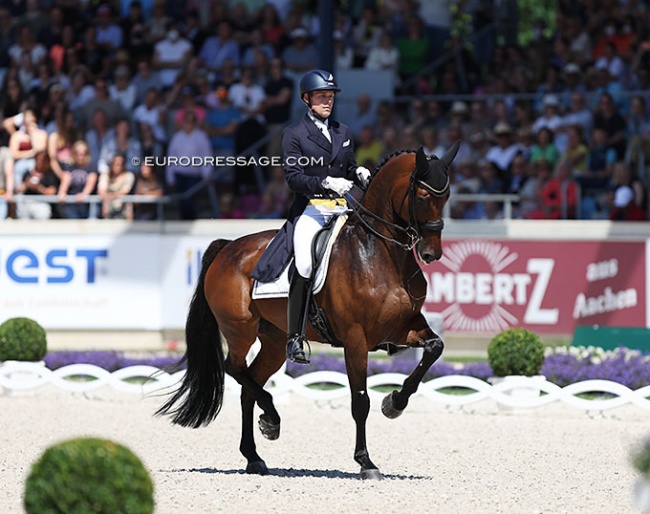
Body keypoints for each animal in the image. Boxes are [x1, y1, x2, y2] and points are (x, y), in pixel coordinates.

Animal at [154, 140, 458, 476]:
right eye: (423, 196)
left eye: (446, 196)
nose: (432, 253)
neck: (379, 253)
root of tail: (227, 248)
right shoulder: (356, 339)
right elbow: (360, 401)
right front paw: (365, 461)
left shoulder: (405, 326)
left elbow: (435, 348)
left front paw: (394, 403)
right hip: (239, 329)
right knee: (233, 368)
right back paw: (271, 420)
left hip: (274, 341)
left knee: (249, 384)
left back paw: (254, 454)